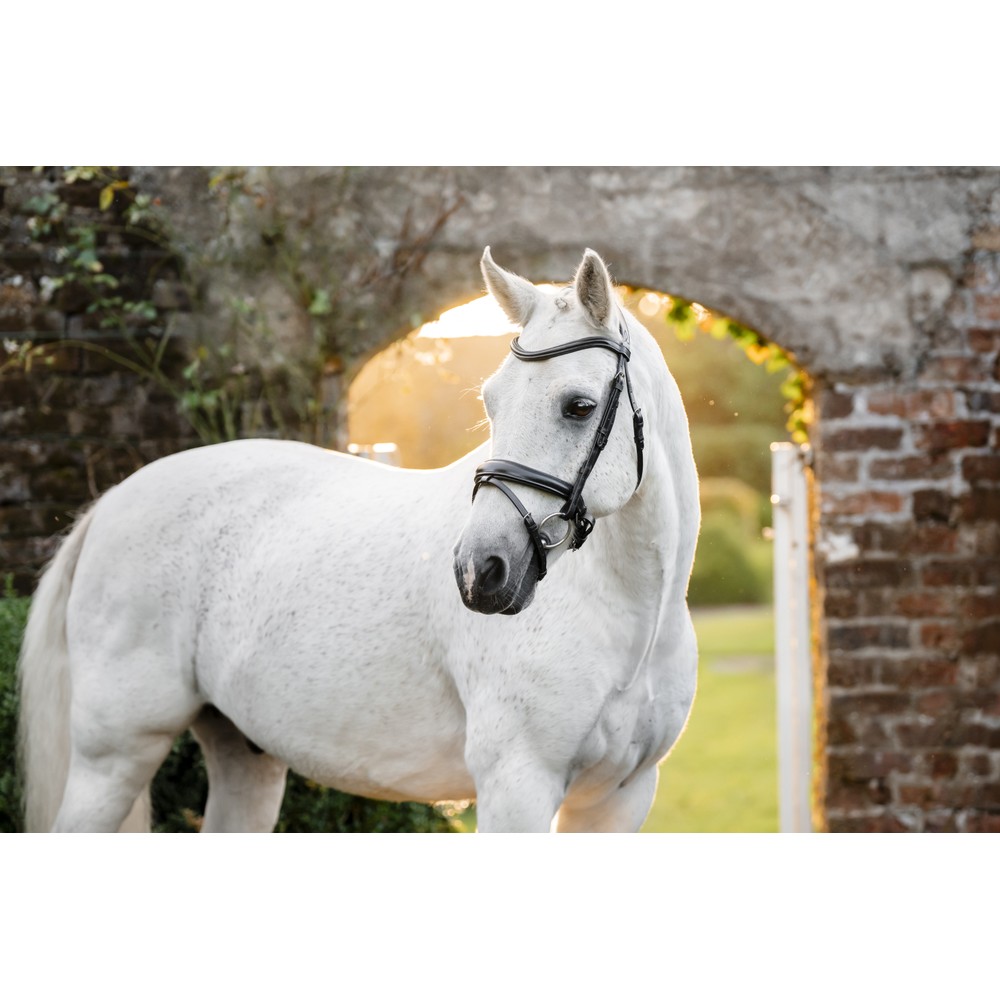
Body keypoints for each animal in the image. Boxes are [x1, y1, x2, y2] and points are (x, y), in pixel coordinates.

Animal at [17, 246, 700, 833]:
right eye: (492, 402)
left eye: (578, 406)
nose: (480, 570)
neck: (629, 622)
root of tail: (112, 502)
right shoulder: (517, 787)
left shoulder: (619, 798)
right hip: (113, 759)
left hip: (244, 759)